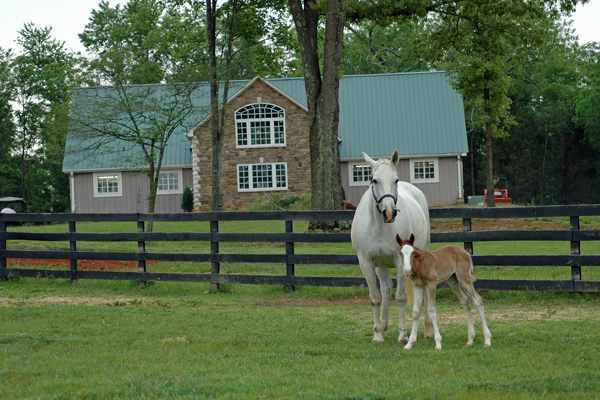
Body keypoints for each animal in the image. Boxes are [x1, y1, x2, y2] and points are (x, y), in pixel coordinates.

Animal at [352, 150, 432, 344]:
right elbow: (376, 297)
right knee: (387, 290)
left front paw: (403, 334)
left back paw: (427, 330)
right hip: (381, 266)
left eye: (395, 180)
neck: (379, 225)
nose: (389, 212)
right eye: (373, 180)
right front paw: (377, 334)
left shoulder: (399, 261)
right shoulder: (366, 262)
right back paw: (383, 327)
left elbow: (401, 297)